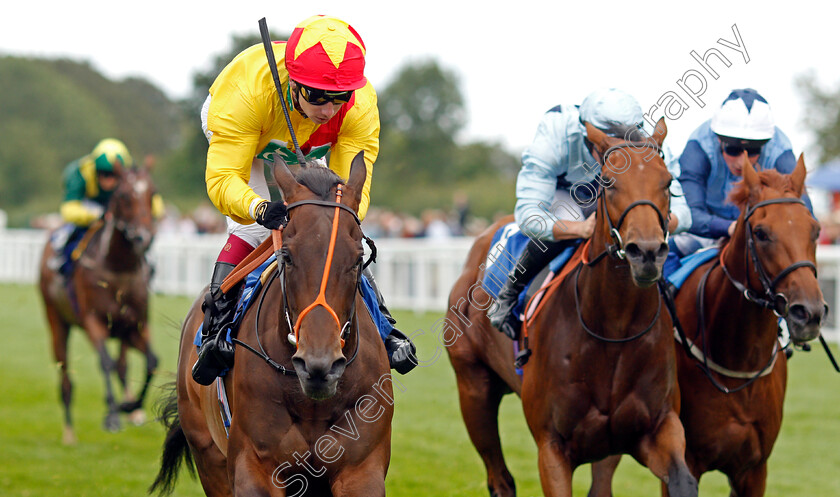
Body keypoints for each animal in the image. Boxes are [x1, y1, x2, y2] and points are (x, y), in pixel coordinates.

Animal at [38, 166, 159, 442]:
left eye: (152, 194)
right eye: (124, 196)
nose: (144, 237)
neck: (118, 267)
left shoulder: (136, 324)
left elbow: (151, 361)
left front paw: (131, 406)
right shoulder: (94, 321)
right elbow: (105, 363)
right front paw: (112, 415)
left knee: (123, 365)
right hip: (56, 321)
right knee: (66, 376)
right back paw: (69, 432)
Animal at [150, 151, 394, 496]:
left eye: (359, 259)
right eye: (287, 256)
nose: (319, 365)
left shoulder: (362, 468)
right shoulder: (256, 467)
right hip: (207, 453)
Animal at [442, 119, 700, 496]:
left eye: (668, 182)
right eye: (608, 182)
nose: (647, 252)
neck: (614, 328)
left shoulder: (656, 427)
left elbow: (683, 479)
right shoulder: (552, 447)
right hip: (473, 387)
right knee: (500, 478)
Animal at [592, 153, 828, 494]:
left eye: (815, 229)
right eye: (761, 232)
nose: (808, 313)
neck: (738, 363)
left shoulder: (754, 469)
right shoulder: (682, 458)